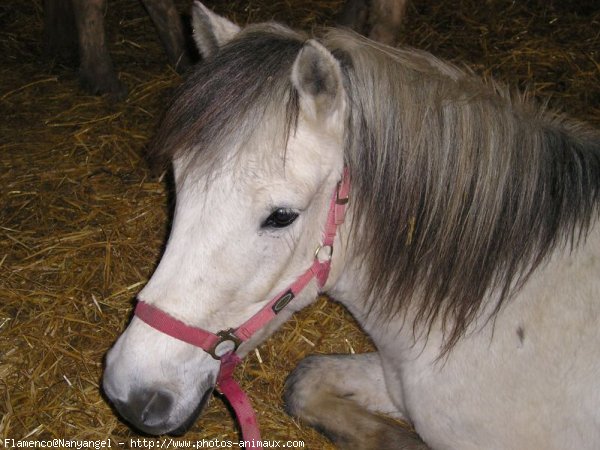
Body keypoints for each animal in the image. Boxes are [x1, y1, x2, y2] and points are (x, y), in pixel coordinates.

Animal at [102, 2, 600, 446]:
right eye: (177, 183)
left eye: (281, 216)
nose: (131, 394)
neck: (493, 300)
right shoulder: (393, 379)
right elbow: (303, 380)